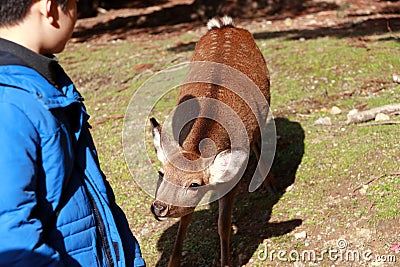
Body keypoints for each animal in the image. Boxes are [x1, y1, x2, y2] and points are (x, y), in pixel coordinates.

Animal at [150, 16, 276, 267]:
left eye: (194, 184)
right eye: (162, 173)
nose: (158, 207)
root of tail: (223, 25)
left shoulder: (232, 179)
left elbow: (223, 225)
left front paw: (225, 261)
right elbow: (185, 218)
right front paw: (173, 261)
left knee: (259, 139)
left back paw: (270, 184)